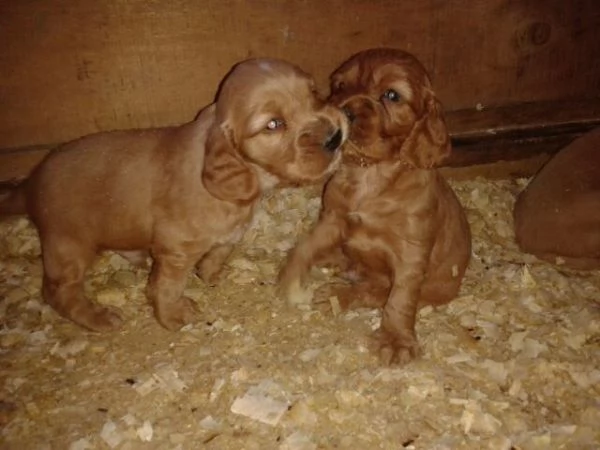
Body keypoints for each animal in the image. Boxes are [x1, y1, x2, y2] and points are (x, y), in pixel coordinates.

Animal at [0, 58, 346, 332]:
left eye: (314, 93)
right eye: (274, 124)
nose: (336, 136)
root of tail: (30, 183)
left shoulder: (229, 233)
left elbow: (220, 250)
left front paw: (210, 274)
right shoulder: (176, 248)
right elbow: (167, 287)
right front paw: (173, 316)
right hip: (68, 245)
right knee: (57, 291)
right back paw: (99, 318)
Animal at [278, 48, 472, 366]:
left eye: (391, 95)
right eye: (340, 85)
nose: (344, 111)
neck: (369, 173)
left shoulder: (411, 254)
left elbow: (399, 300)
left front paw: (396, 341)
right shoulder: (333, 218)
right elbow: (307, 245)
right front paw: (291, 274)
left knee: (374, 292)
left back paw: (338, 295)